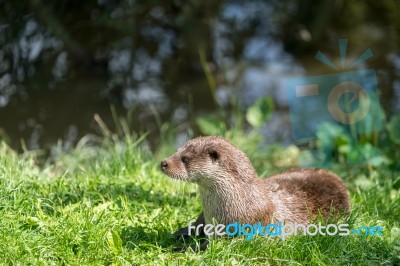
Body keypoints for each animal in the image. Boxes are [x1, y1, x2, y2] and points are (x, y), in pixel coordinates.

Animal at [161, 136, 348, 250]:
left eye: (185, 159)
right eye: (176, 151)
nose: (163, 163)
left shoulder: (241, 229)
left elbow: (212, 245)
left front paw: (186, 248)